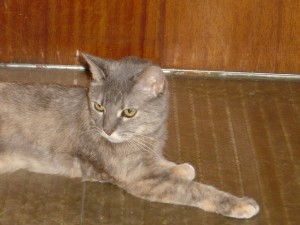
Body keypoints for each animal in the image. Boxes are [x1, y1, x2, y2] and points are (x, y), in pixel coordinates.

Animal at [0, 52, 258, 218]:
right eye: (99, 106)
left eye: (129, 112)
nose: (107, 130)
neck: (145, 136)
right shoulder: (138, 180)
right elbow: (193, 190)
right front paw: (238, 204)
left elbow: (162, 163)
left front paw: (179, 167)